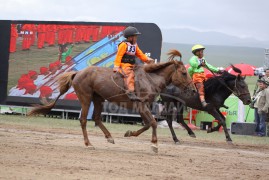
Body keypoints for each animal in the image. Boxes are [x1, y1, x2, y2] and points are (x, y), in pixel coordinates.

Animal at [27, 49, 195, 153]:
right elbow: (152, 123)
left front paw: (130, 133)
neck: (149, 79)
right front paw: (154, 144)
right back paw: (88, 144)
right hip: (86, 98)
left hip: (98, 99)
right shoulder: (141, 106)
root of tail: (78, 73)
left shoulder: (144, 106)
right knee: (83, 120)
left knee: (96, 118)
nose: (193, 90)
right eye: (184, 72)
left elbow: (148, 124)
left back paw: (109, 137)